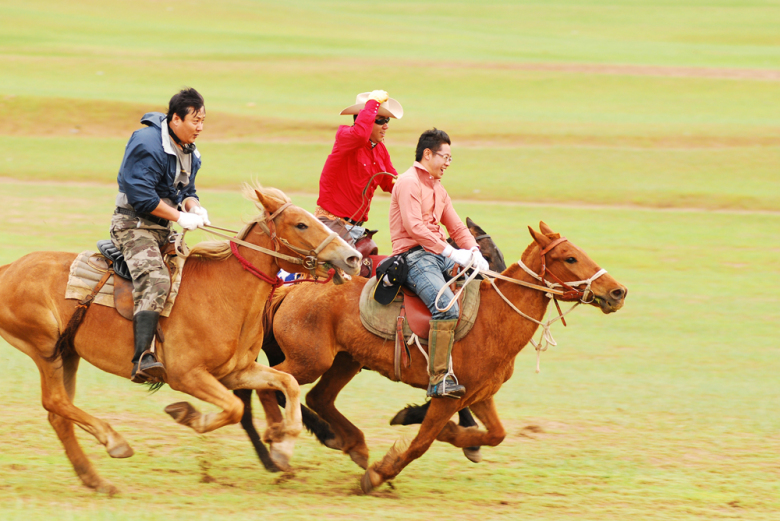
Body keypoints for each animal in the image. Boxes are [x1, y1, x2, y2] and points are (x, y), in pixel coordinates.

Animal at [0, 185, 362, 494]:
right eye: (301, 224)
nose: (353, 258)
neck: (224, 293)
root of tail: (9, 268)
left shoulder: (237, 372)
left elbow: (287, 383)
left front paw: (284, 447)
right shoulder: (187, 376)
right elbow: (233, 408)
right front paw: (189, 416)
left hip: (68, 353)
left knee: (59, 415)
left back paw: (95, 479)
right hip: (45, 348)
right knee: (55, 402)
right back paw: (114, 441)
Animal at [256, 222, 628, 492]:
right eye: (569, 258)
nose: (618, 291)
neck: (495, 318)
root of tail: (292, 288)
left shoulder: (480, 395)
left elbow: (495, 434)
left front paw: (444, 432)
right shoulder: (449, 396)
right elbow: (421, 442)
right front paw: (379, 474)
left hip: (344, 361)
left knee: (318, 396)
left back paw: (354, 445)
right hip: (309, 361)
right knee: (268, 381)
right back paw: (278, 441)